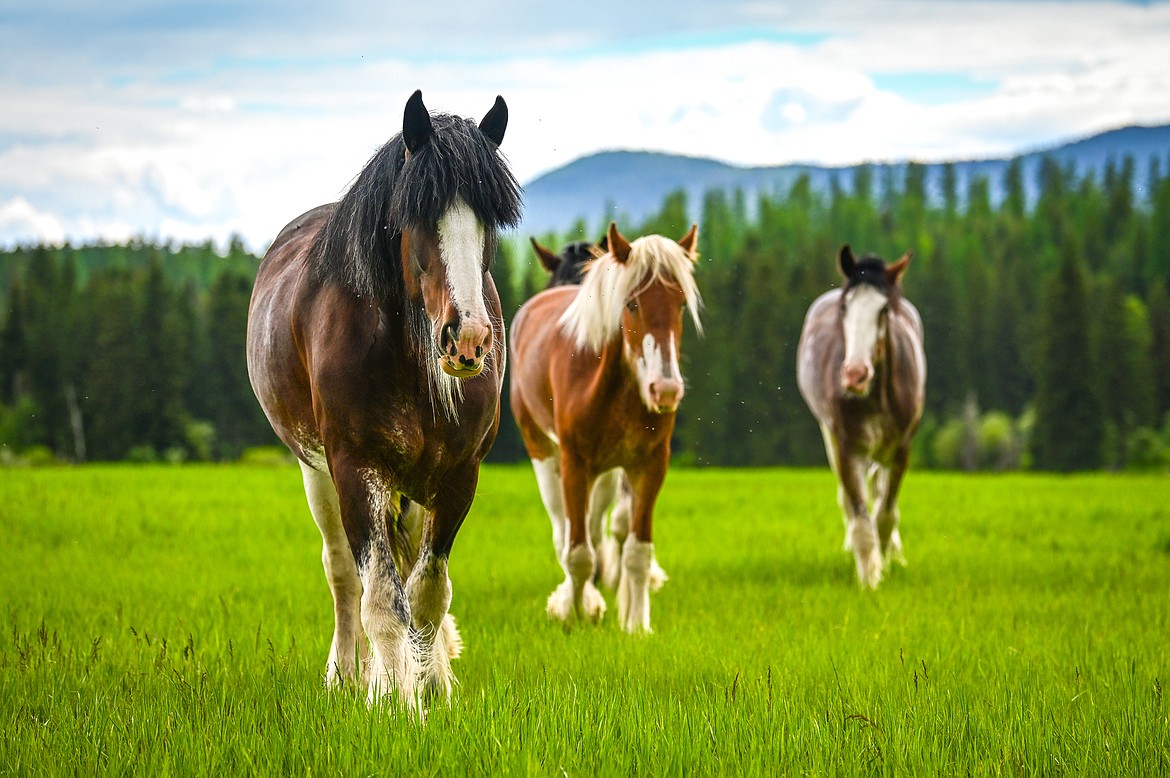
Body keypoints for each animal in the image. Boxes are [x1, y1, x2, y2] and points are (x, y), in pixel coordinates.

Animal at [244, 89, 519, 701]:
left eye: (488, 218)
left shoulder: (458, 475)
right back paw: (345, 675)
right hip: (319, 474)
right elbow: (380, 599)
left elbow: (426, 593)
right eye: (418, 213)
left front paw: (430, 689)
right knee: (344, 574)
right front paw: (390, 699)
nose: (468, 338)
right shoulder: (355, 467)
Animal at [510, 221, 692, 636]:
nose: (666, 389)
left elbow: (637, 549)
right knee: (564, 530)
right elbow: (577, 552)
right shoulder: (574, 464)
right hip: (542, 450)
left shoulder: (649, 465)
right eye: (632, 303)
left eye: (680, 304)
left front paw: (637, 625)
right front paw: (576, 612)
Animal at [800, 245, 926, 584]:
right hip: (828, 435)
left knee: (879, 493)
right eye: (845, 308)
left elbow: (885, 513)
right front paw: (869, 578)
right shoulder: (846, 449)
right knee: (850, 498)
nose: (855, 374)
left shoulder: (902, 450)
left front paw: (885, 560)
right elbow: (859, 518)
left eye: (883, 311)